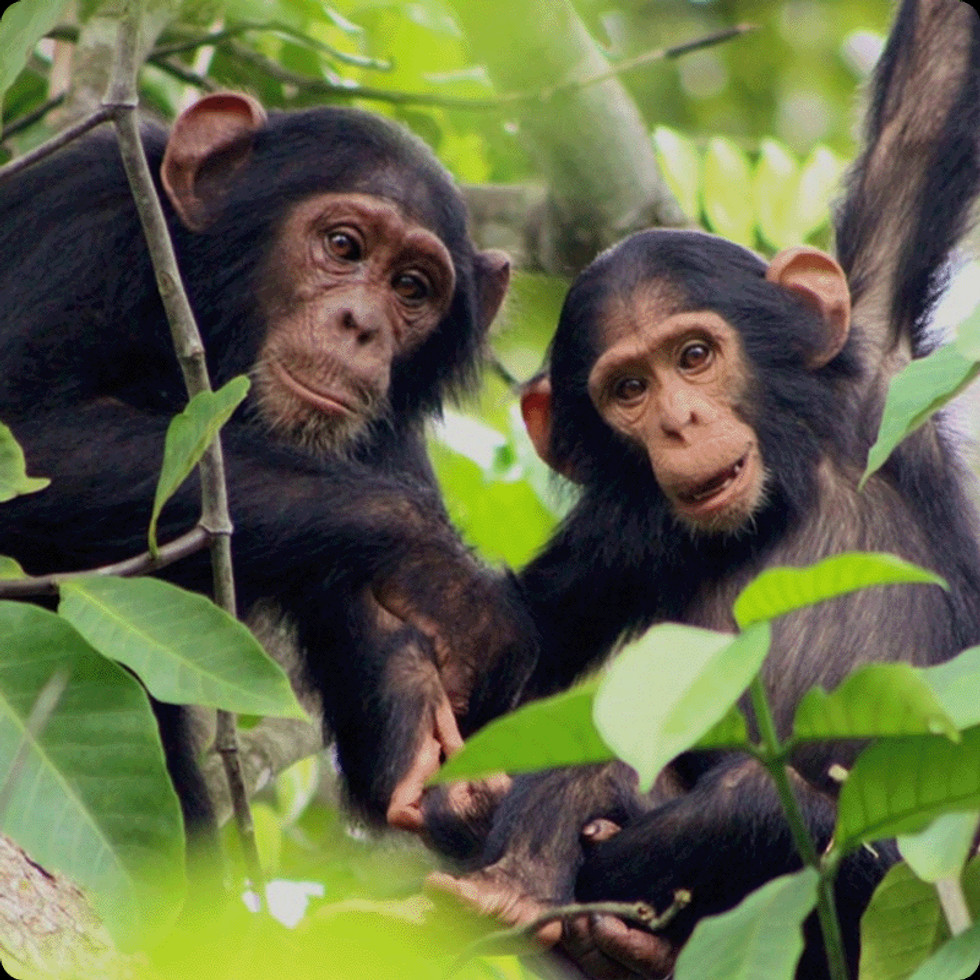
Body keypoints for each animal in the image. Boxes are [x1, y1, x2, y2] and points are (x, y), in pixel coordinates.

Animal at [0, 92, 536, 832]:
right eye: (342, 246)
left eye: (412, 286)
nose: (361, 324)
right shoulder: (82, 222)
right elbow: (26, 435)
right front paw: (448, 581)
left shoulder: (387, 438)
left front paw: (434, 764)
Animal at [430, 3, 980, 976]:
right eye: (629, 390)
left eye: (694, 356)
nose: (681, 422)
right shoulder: (619, 536)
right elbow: (525, 649)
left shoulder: (880, 377)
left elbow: (929, 101)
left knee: (754, 808)